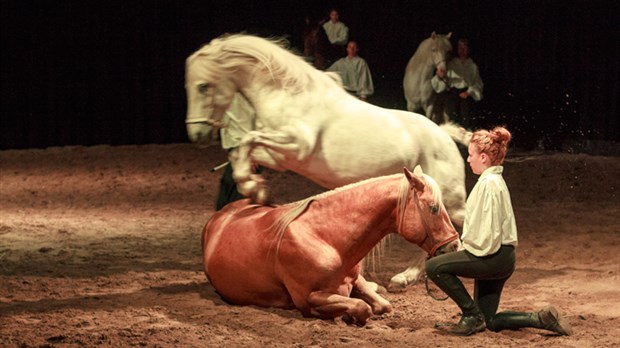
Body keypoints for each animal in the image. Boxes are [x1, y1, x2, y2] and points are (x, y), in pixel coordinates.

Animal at [186, 33, 468, 288]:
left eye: (203, 86)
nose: (197, 134)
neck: (287, 95)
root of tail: (444, 133)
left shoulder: (295, 145)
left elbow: (248, 140)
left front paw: (254, 188)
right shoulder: (279, 156)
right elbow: (242, 151)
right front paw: (256, 190)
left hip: (449, 199)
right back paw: (405, 277)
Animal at [201, 167, 458, 324]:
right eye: (434, 207)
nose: (454, 246)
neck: (326, 238)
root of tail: (220, 215)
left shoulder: (355, 281)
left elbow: (382, 306)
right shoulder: (309, 299)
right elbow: (362, 308)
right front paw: (349, 316)